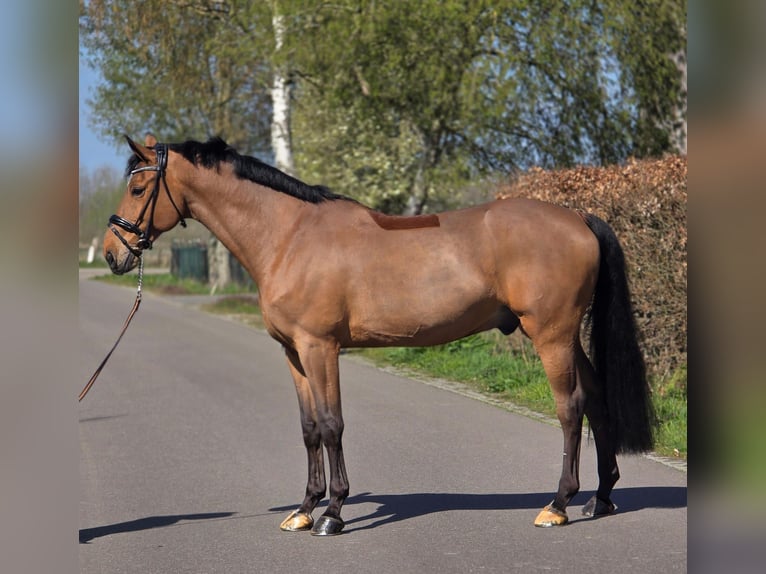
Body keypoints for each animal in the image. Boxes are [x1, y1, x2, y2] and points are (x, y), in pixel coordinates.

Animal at [103, 134, 654, 536]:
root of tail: (577, 216)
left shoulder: (320, 348)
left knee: (571, 407)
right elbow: (308, 429)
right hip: (567, 337)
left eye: (138, 189)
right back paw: (601, 498)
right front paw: (303, 509)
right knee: (597, 397)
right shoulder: (293, 354)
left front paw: (332, 514)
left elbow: (332, 425)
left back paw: (558, 504)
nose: (112, 253)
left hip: (551, 334)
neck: (289, 236)